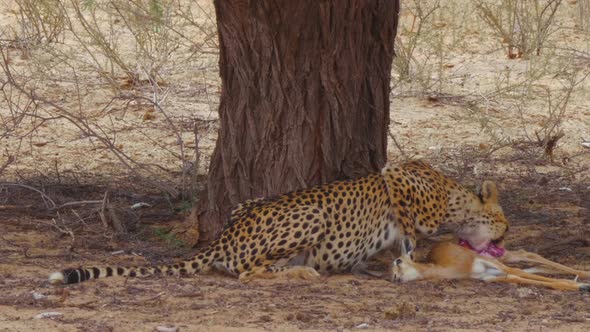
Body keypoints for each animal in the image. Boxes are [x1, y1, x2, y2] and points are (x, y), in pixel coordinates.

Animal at [49, 160, 508, 284]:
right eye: (503, 227)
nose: (503, 242)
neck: (455, 200)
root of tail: (225, 234)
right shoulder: (394, 176)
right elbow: (411, 232)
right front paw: (408, 262)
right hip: (312, 212)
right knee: (248, 272)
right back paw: (302, 272)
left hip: (247, 203)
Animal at [394, 240, 590, 292]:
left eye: (398, 261)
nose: (395, 278)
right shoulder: (488, 277)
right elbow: (517, 277)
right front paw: (579, 285)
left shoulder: (489, 263)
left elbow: (516, 272)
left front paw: (580, 285)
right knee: (530, 264)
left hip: (498, 257)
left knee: (527, 255)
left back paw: (584, 275)